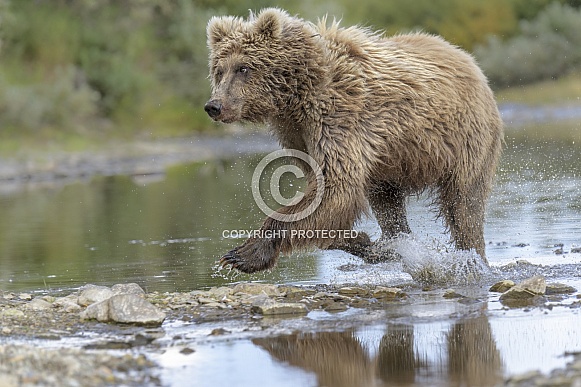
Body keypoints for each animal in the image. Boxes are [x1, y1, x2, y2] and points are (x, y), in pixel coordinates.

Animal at [205, 6, 502, 272]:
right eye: (219, 70)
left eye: (243, 68)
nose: (214, 106)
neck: (298, 95)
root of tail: (467, 59)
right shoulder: (298, 133)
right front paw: (362, 241)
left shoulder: (338, 117)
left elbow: (335, 185)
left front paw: (242, 254)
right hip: (390, 165)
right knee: (388, 204)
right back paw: (396, 243)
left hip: (464, 139)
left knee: (463, 204)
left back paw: (472, 256)